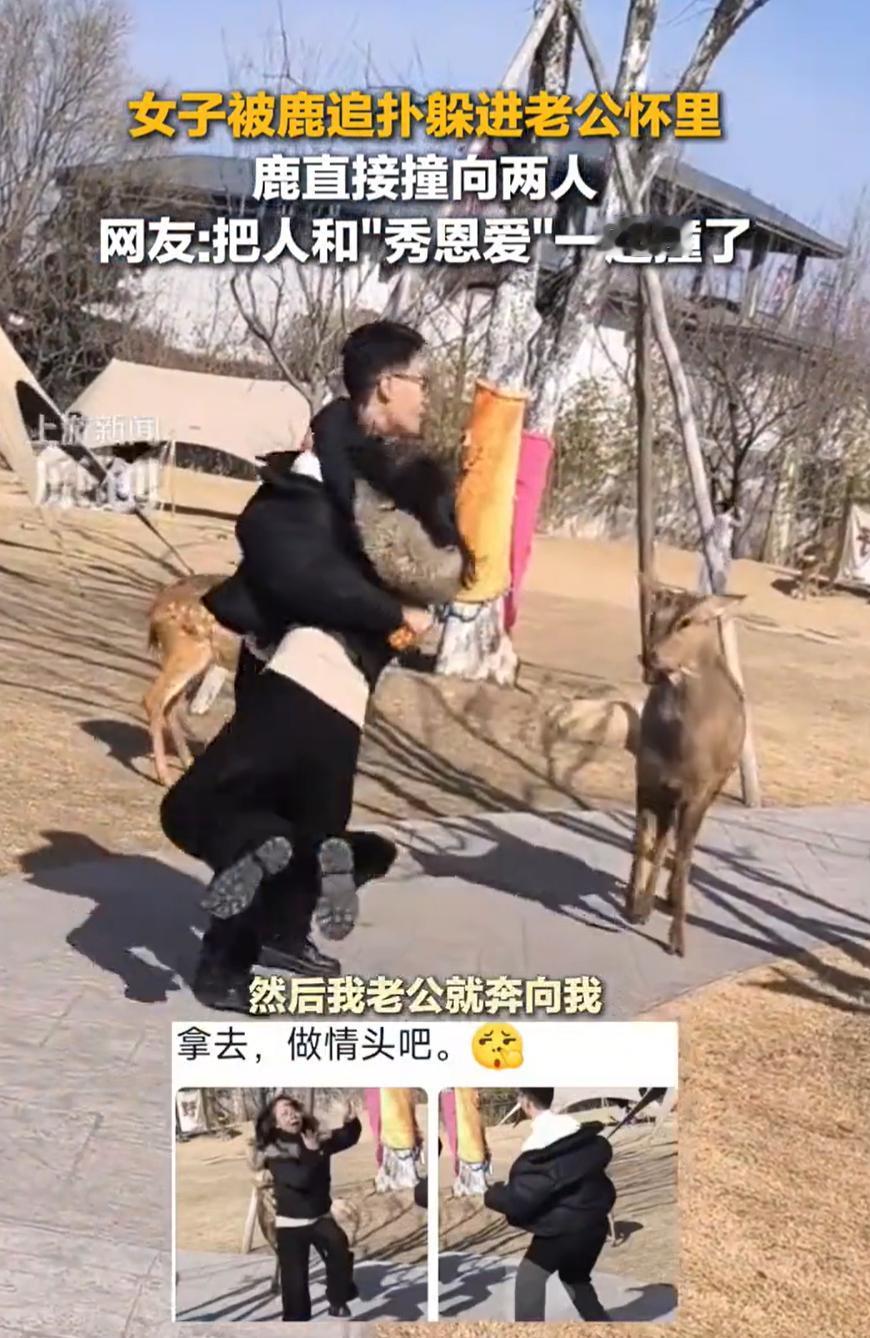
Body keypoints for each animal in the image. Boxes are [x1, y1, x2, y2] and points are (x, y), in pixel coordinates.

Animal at [143, 573, 240, 787]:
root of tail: (156, 608)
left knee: (170, 705)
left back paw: (186, 762)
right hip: (189, 651)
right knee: (155, 699)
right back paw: (165, 776)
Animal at [624, 577, 747, 958]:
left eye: (687, 621)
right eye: (653, 613)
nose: (650, 657)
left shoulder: (697, 790)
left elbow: (683, 854)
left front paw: (677, 941)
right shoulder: (646, 780)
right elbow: (643, 842)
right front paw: (631, 906)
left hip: (713, 788)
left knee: (683, 845)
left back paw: (669, 900)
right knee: (665, 839)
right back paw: (648, 904)